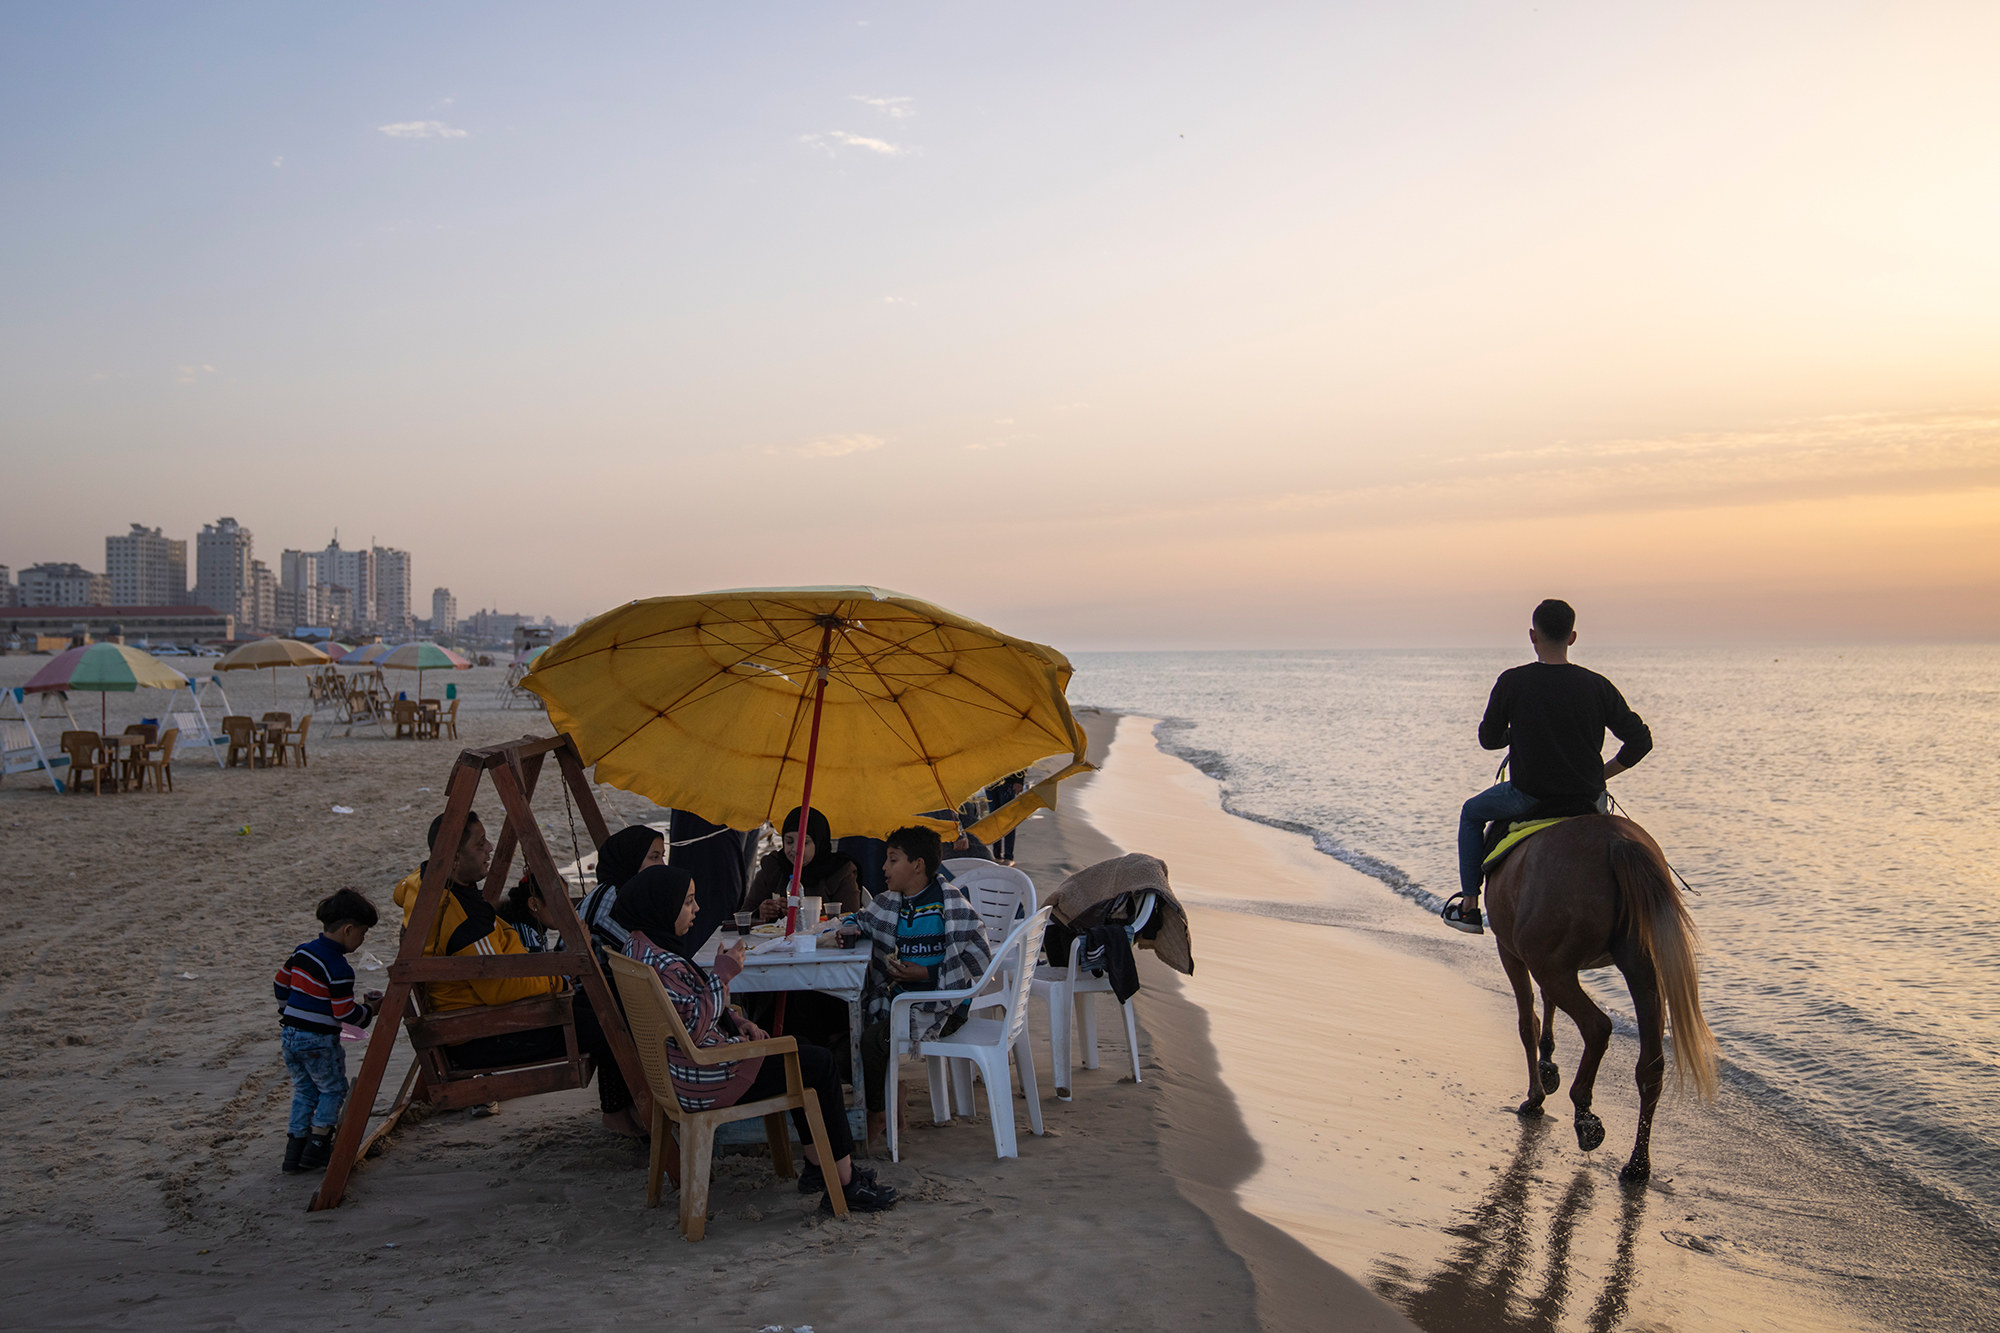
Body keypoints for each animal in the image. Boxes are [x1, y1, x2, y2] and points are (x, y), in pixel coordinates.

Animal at [1488, 808, 1720, 1176]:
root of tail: (1617, 842)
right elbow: (1546, 1008)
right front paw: (1548, 1065)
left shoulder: (1511, 951)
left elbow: (1528, 1022)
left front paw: (1537, 1095)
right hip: (1639, 970)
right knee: (1650, 1064)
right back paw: (1638, 1165)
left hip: (1551, 965)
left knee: (1597, 1027)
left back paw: (1585, 1117)